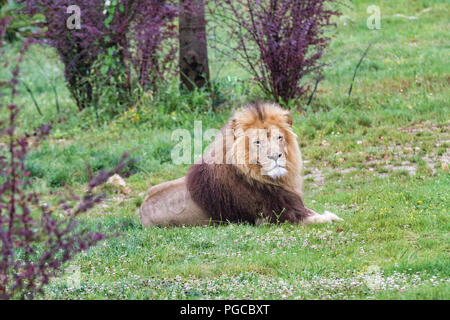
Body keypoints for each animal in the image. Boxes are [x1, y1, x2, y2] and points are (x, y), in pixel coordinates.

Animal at [141, 101, 342, 226]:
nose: (276, 156)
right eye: (257, 142)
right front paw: (332, 217)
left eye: (279, 138)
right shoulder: (270, 218)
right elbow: (322, 219)